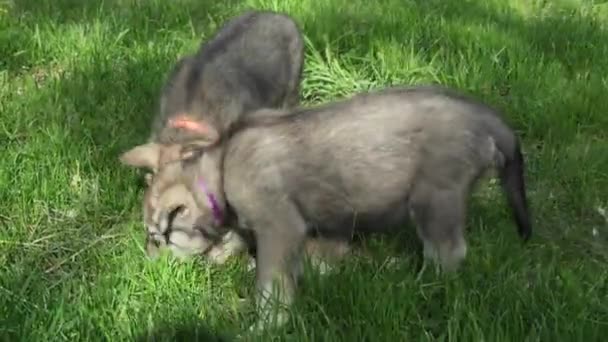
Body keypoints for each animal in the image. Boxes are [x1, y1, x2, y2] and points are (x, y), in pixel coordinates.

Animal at [127, 85, 532, 332]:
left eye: (157, 239)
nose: (145, 270)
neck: (222, 167)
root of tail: (486, 117)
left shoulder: (280, 225)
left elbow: (271, 284)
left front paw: (268, 324)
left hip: (435, 197)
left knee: (448, 251)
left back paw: (421, 285)